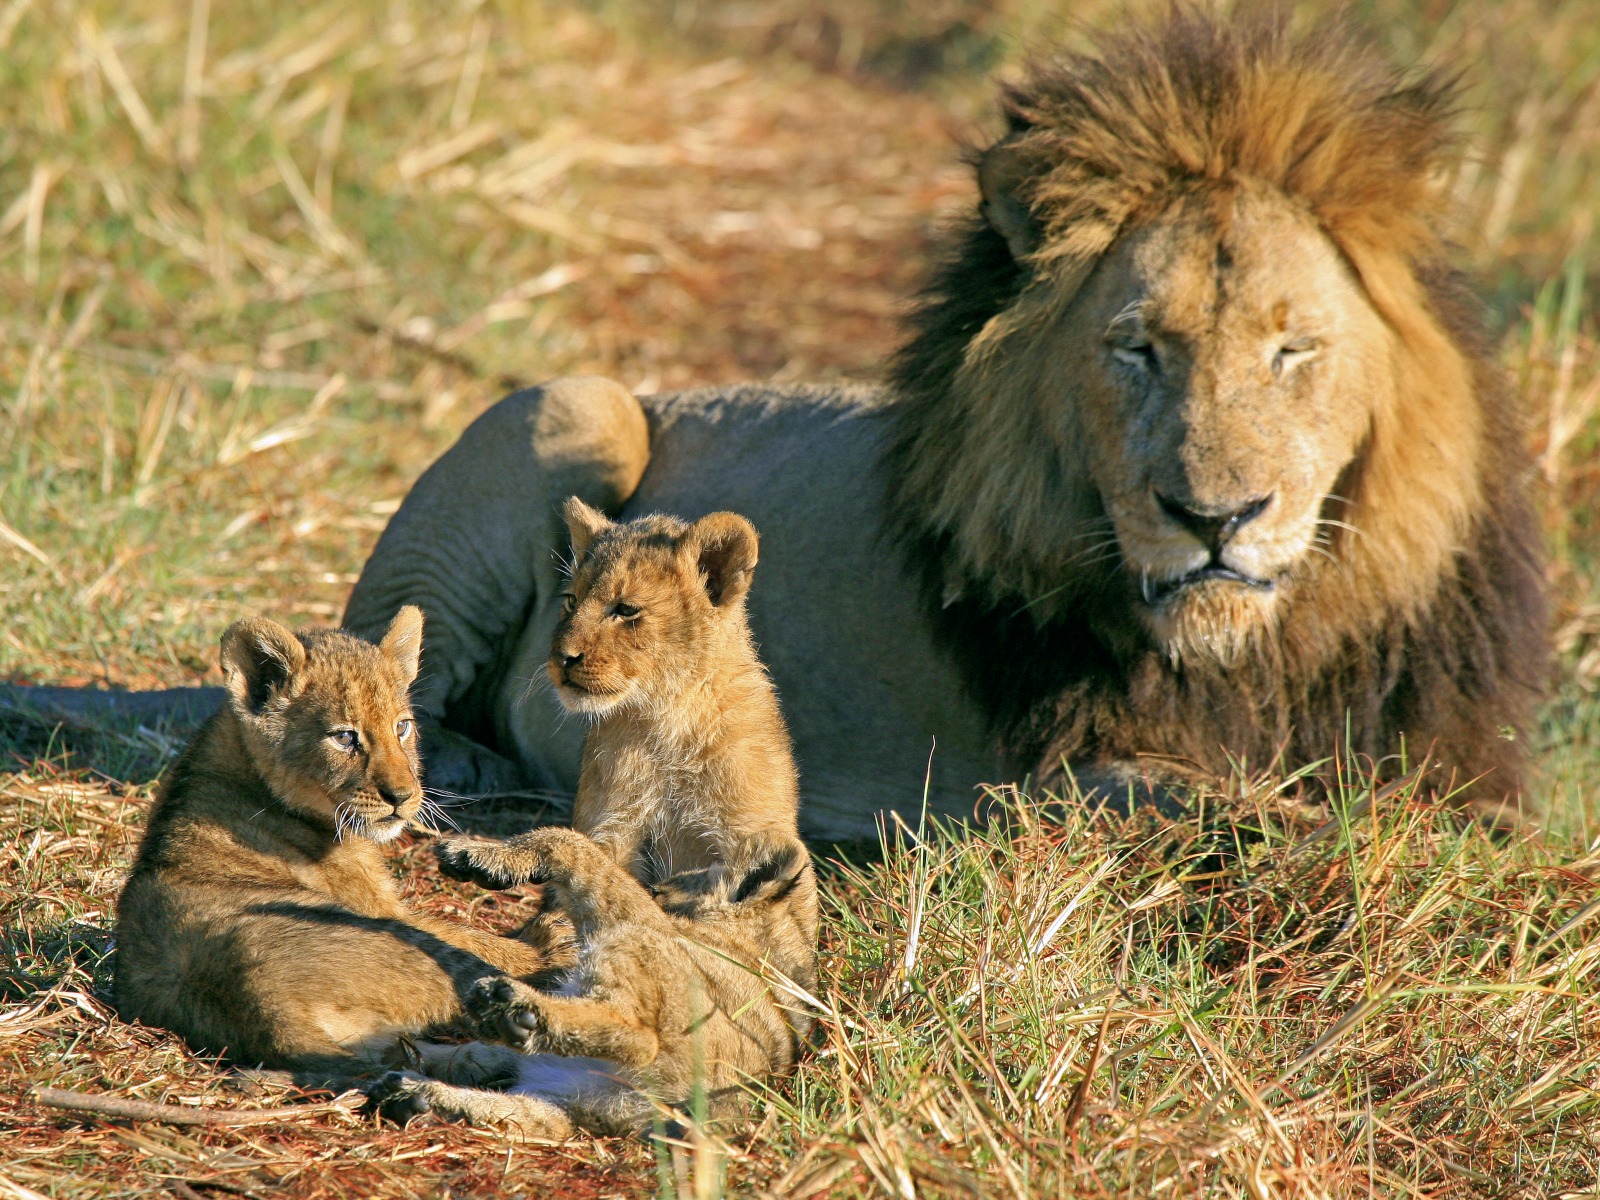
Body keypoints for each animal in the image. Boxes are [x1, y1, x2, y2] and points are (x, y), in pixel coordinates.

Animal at [114, 608, 557, 1083]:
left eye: (402, 727)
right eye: (345, 737)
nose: (403, 797)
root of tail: (254, 1002)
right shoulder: (385, 908)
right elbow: (479, 939)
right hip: (396, 939)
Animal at [341, 7, 1545, 834]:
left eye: (1293, 350)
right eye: (1136, 348)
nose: (1215, 519)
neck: (1261, 651)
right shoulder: (1054, 775)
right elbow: (1210, 796)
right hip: (576, 404)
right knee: (391, 662)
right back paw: (458, 769)